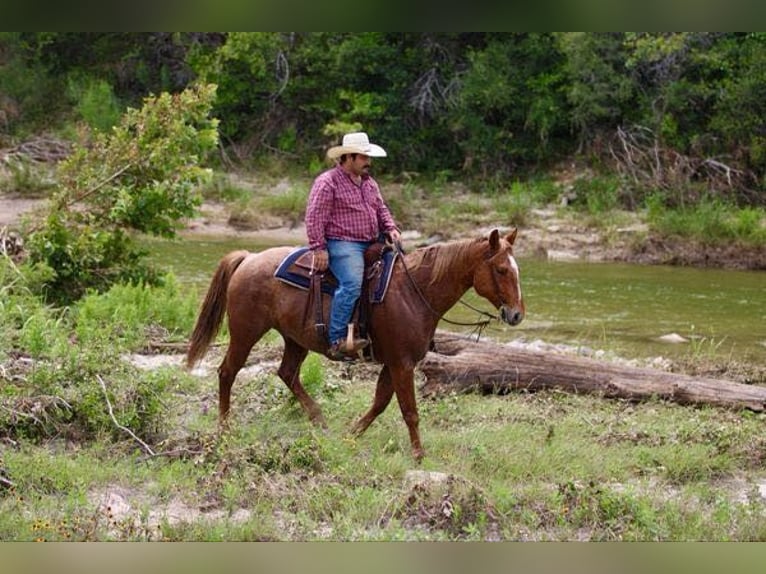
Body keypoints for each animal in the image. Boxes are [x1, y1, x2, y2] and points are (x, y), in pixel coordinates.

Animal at [186, 228, 525, 461]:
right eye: (501, 269)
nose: (516, 314)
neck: (414, 292)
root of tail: (249, 258)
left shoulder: (393, 363)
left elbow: (380, 403)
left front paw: (351, 434)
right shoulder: (402, 363)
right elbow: (409, 410)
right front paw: (419, 455)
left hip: (295, 339)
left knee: (287, 373)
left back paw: (319, 419)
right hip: (246, 332)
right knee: (228, 372)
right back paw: (225, 428)